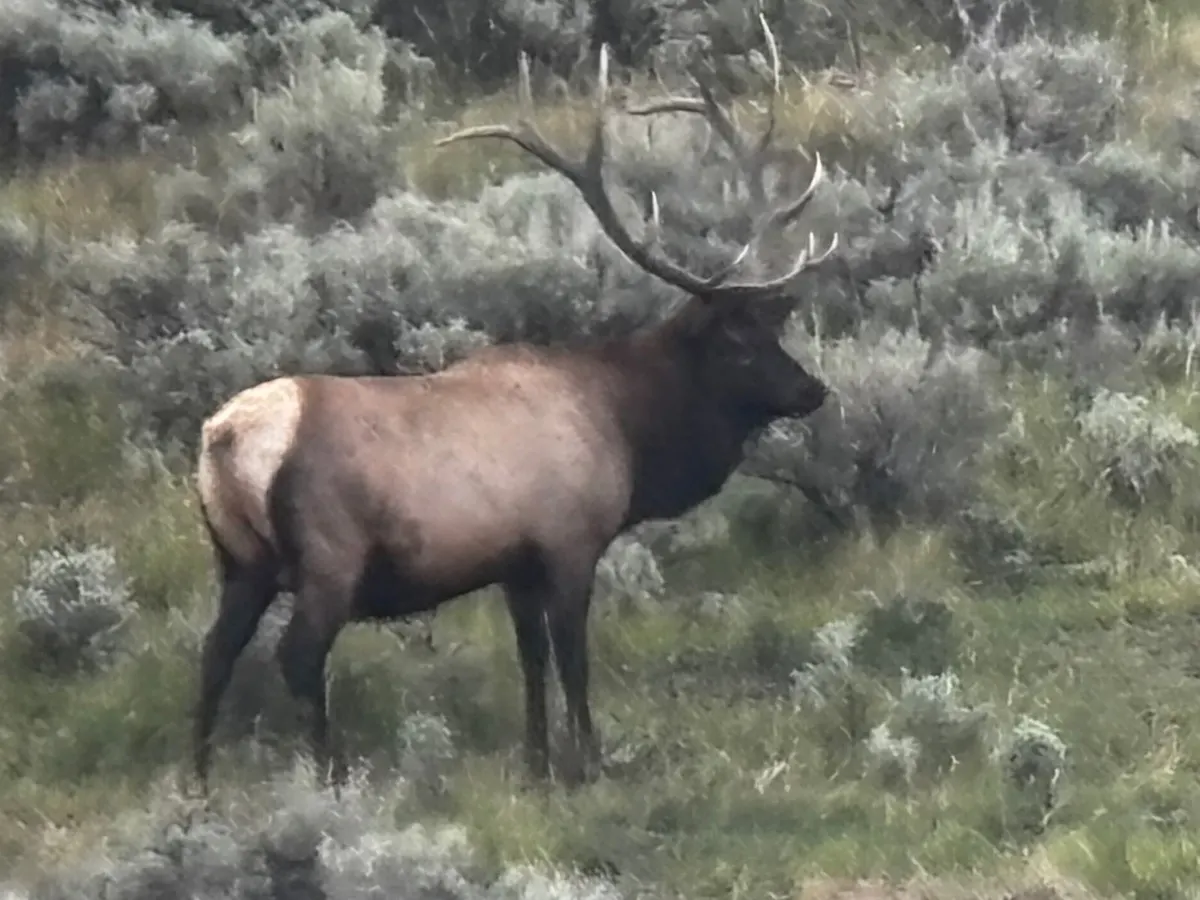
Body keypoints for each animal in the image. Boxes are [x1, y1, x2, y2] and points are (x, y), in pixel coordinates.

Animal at [191, 13, 839, 794]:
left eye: (772, 330)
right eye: (738, 342)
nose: (812, 390)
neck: (626, 430)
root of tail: (224, 438)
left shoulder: (514, 564)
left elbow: (531, 661)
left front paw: (537, 764)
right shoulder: (569, 541)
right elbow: (573, 661)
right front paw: (589, 763)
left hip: (238, 559)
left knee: (213, 655)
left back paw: (197, 786)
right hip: (327, 555)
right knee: (298, 656)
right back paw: (330, 777)